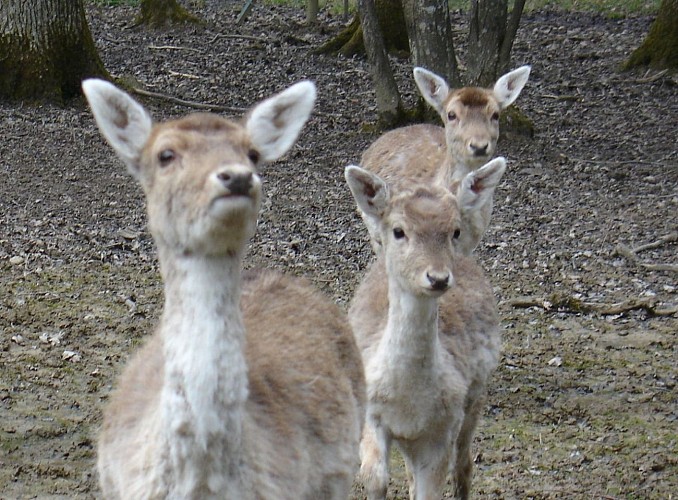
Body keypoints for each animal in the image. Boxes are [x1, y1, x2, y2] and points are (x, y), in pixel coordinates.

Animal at [346, 161, 504, 500]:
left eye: (455, 230)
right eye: (398, 230)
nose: (438, 277)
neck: (408, 401)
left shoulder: (443, 427)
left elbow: (431, 489)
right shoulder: (371, 412)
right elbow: (374, 477)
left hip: (475, 398)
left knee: (464, 466)